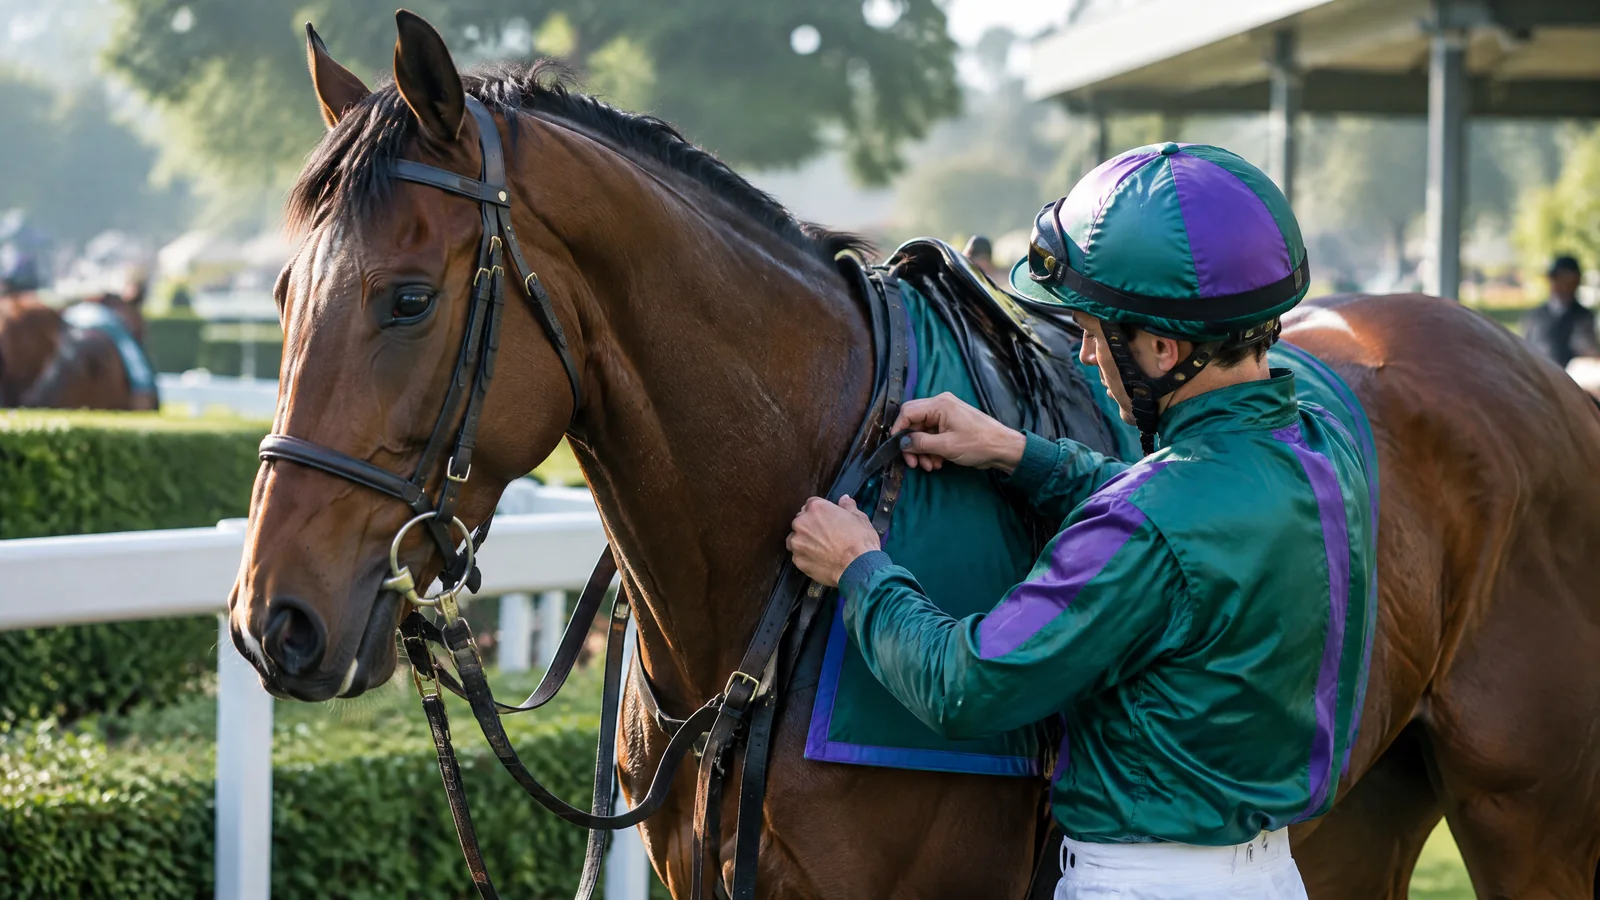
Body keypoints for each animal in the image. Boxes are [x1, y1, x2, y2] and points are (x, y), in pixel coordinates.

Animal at [231, 13, 1600, 899]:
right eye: (284, 292)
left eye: (407, 299)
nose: (271, 621)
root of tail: (1542, 384)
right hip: (1360, 809)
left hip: (1533, 819)